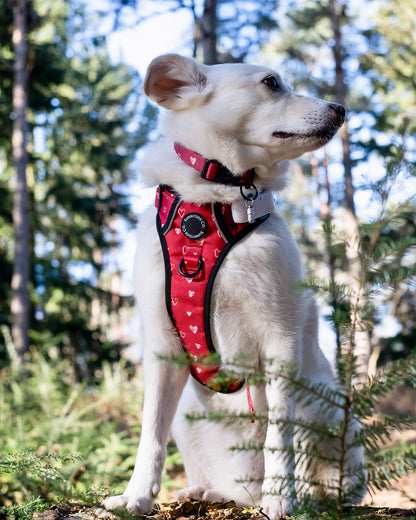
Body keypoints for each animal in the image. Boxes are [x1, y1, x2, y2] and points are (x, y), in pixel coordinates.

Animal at [96, 53, 364, 520]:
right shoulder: (162, 345)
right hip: (189, 412)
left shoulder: (281, 337)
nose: (341, 108)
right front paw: (137, 496)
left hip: (321, 404)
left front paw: (281, 496)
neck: (216, 197)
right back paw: (209, 492)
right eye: (271, 83)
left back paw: (301, 495)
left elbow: (278, 436)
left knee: (321, 474)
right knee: (228, 484)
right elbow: (150, 433)